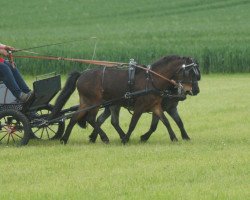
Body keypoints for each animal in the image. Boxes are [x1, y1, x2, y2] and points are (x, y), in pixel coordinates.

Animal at [51, 54, 199, 144]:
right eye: (190, 72)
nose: (194, 90)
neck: (151, 80)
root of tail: (82, 74)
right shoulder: (140, 107)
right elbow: (133, 123)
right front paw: (127, 138)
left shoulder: (156, 106)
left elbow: (166, 122)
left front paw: (174, 137)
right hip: (94, 102)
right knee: (91, 118)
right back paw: (105, 137)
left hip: (88, 102)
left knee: (76, 117)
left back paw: (65, 139)